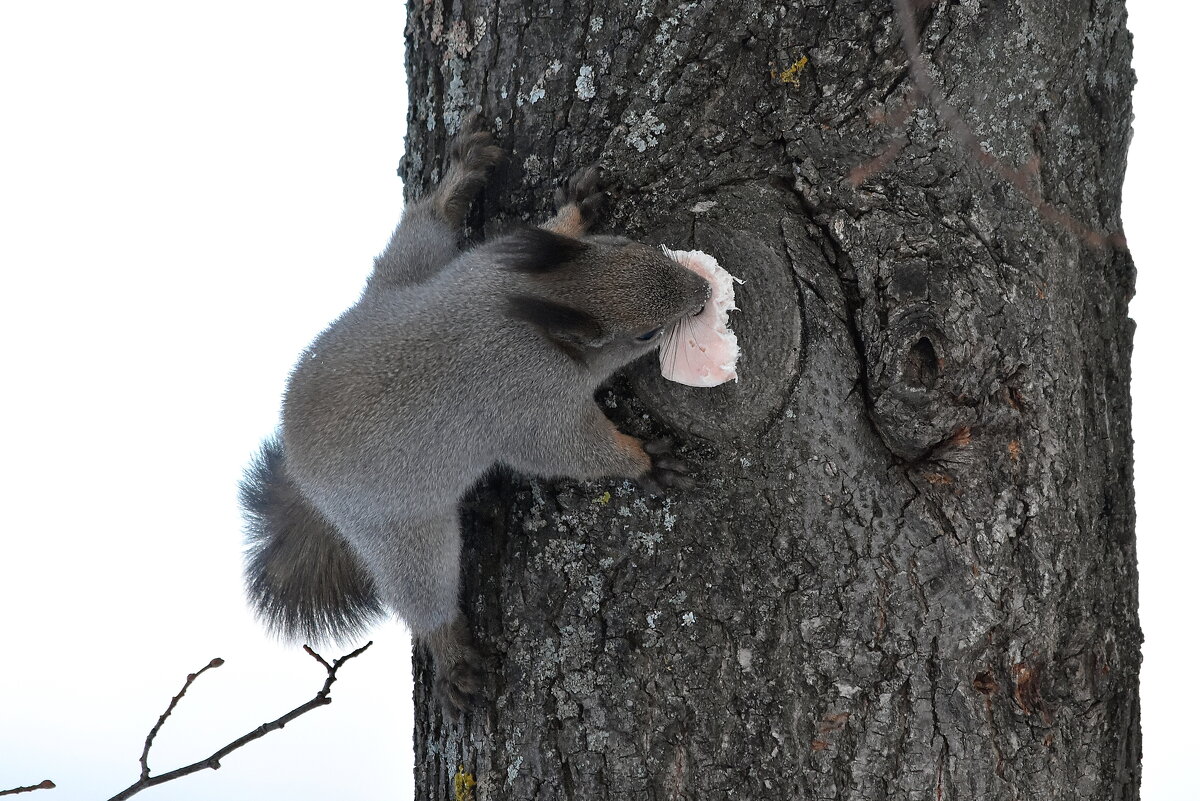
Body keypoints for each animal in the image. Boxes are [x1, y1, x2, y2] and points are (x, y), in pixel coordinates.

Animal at [241, 120, 710, 714]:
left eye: (621, 245)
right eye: (645, 334)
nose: (704, 291)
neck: (521, 303)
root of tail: (304, 481)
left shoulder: (492, 259)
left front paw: (577, 204)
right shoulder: (530, 404)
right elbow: (572, 451)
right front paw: (645, 459)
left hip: (404, 284)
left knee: (419, 234)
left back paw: (457, 181)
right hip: (405, 534)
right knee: (424, 597)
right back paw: (453, 657)